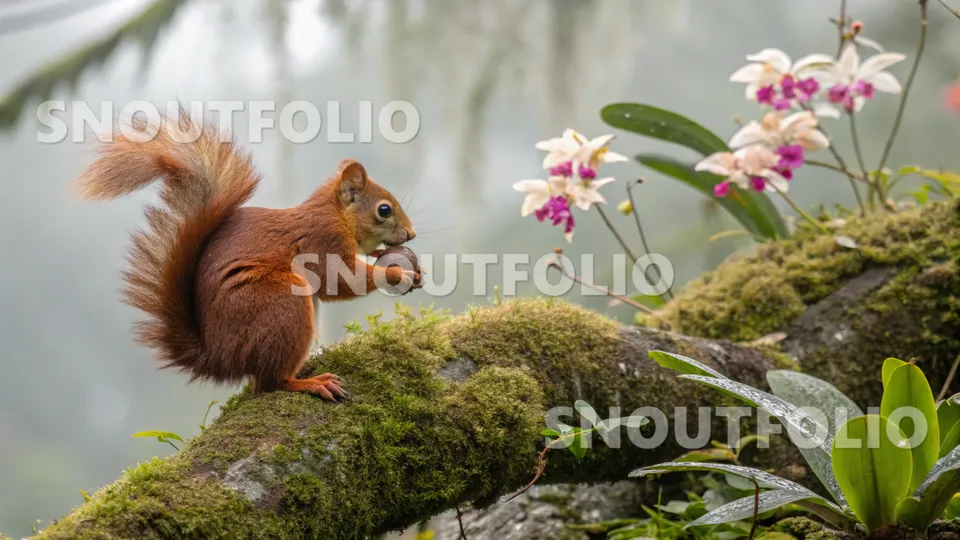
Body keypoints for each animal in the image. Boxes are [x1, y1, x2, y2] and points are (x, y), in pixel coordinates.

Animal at [74, 114, 421, 401]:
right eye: (384, 210)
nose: (412, 234)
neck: (336, 214)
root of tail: (219, 356)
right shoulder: (324, 240)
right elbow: (341, 280)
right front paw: (395, 273)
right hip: (281, 303)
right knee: (269, 383)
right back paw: (309, 383)